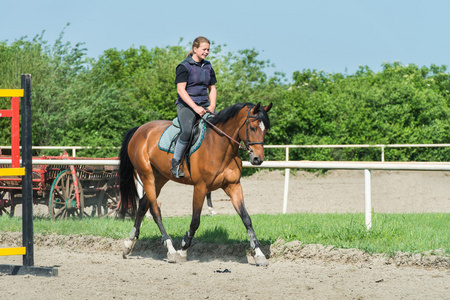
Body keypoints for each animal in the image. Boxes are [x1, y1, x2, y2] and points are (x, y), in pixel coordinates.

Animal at [119, 102, 272, 264]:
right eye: (253, 128)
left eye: (265, 130)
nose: (258, 159)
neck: (220, 146)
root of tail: (140, 129)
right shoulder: (200, 187)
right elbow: (195, 220)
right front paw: (183, 250)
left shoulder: (234, 186)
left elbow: (246, 218)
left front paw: (259, 254)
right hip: (147, 175)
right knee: (155, 210)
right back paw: (170, 248)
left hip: (159, 178)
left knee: (143, 204)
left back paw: (129, 244)